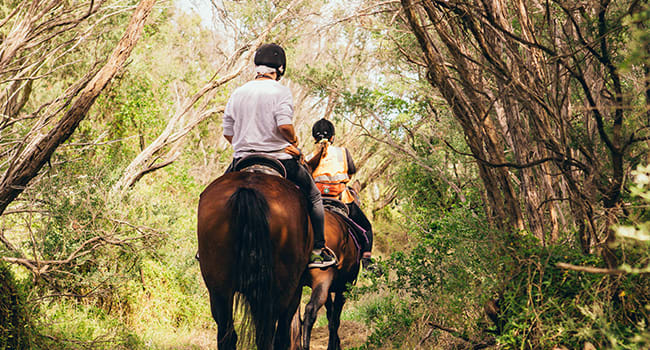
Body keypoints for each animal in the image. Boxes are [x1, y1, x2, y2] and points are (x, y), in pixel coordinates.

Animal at [196, 170, 310, 350]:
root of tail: (248, 190)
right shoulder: (294, 292)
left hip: (218, 289)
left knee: (227, 334)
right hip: (278, 292)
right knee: (269, 335)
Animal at [298, 202, 360, 350]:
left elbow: (330, 315)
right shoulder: (343, 287)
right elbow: (335, 319)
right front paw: (333, 345)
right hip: (323, 277)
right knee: (310, 310)